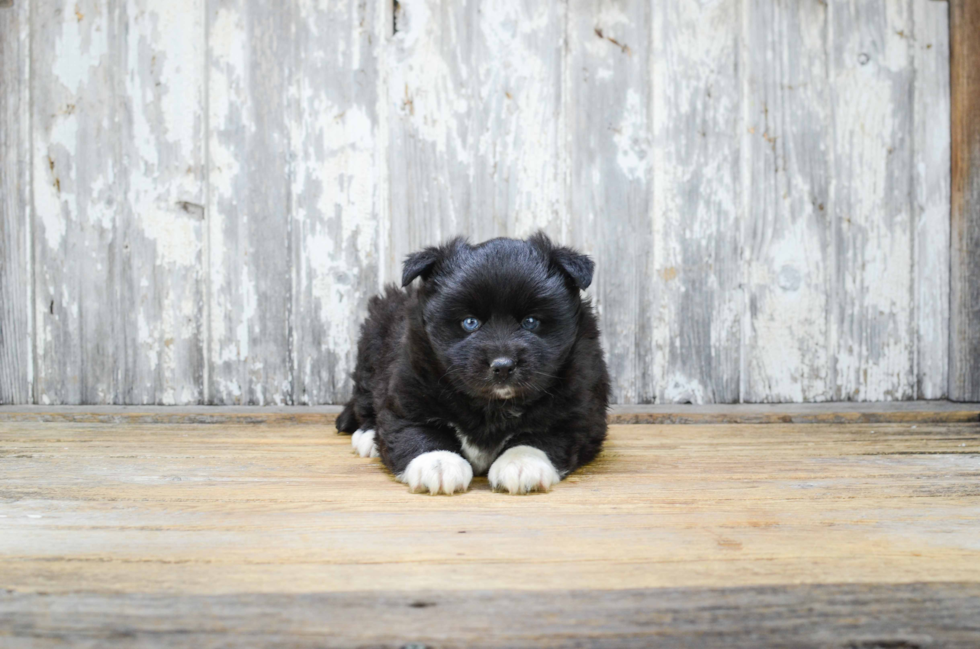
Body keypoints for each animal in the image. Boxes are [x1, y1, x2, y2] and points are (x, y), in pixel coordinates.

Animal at [340, 232, 608, 492]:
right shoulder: (407, 396)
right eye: (470, 322)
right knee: (364, 399)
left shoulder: (577, 414)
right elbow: (418, 432)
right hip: (372, 349)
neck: (492, 405)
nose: (502, 366)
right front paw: (438, 463)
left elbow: (540, 437)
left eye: (531, 322)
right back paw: (368, 435)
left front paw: (522, 464)